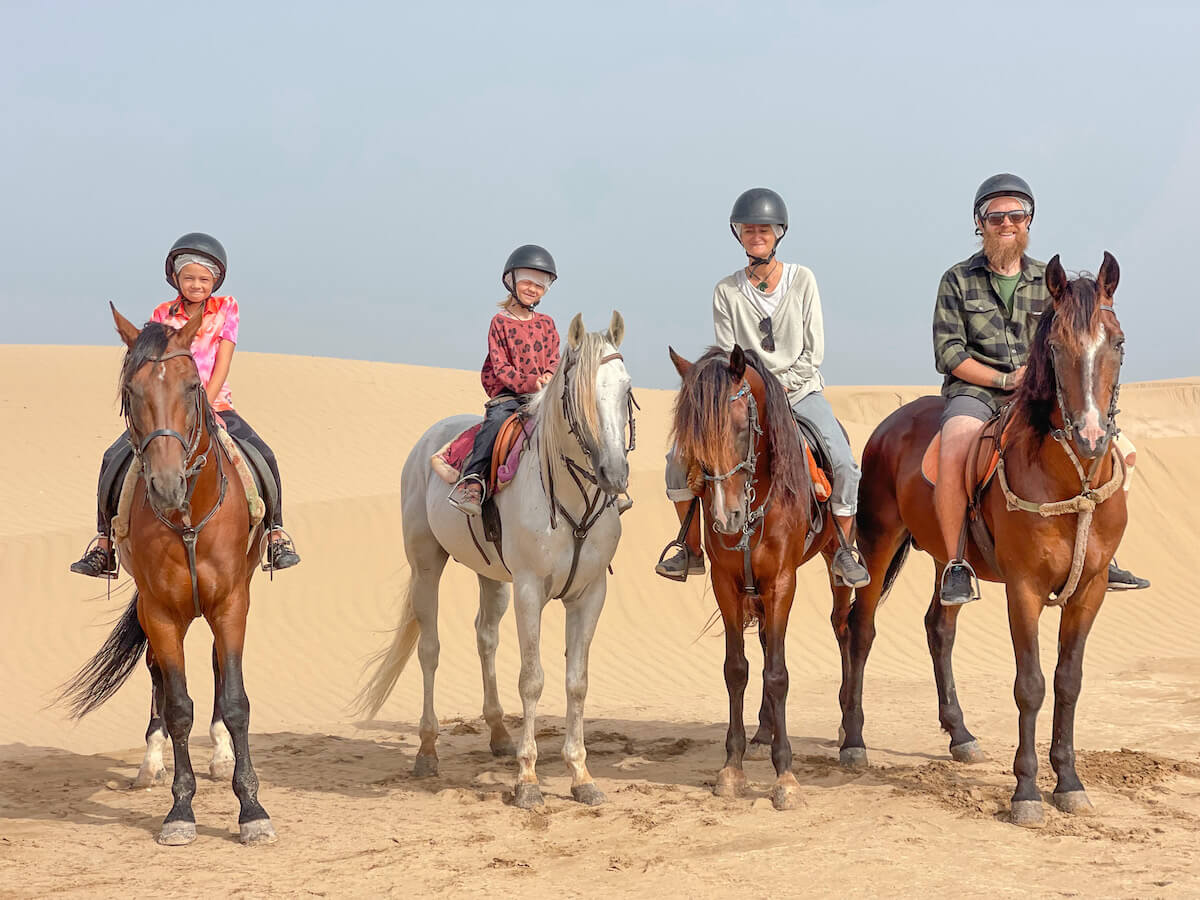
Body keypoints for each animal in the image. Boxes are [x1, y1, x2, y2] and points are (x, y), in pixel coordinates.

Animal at [60, 305, 275, 846]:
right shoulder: (158, 610)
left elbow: (236, 701)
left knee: (218, 669)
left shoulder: (231, 604)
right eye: (129, 392)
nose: (165, 484)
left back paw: (220, 755)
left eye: (192, 385)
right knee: (158, 676)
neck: (188, 517)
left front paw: (252, 810)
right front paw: (180, 810)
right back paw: (149, 764)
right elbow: (177, 705)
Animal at [357, 312, 634, 808]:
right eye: (575, 394)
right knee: (430, 650)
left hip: (492, 578)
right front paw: (527, 781)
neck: (569, 497)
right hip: (426, 566)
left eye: (626, 389)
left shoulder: (590, 594)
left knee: (485, 637)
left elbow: (577, 681)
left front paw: (581, 776)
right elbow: (533, 679)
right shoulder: (529, 590)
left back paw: (500, 734)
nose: (614, 474)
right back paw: (427, 752)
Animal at [669, 344, 844, 810]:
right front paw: (732, 768)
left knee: (846, 629)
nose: (724, 517)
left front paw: (786, 777)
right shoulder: (727, 585)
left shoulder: (782, 582)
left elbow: (777, 674)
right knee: (765, 643)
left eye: (741, 426)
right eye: (691, 436)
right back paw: (764, 730)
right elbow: (738, 669)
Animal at [834, 253, 1128, 826]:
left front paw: (1070, 783)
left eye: (1118, 342)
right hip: (879, 544)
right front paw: (1027, 792)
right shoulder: (1024, 589)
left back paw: (960, 735)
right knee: (860, 629)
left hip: (948, 560)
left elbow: (1069, 681)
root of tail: (888, 424)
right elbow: (1031, 685)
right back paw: (853, 741)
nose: (1089, 435)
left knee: (938, 627)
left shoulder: (1091, 591)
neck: (1074, 481)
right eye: (1054, 347)